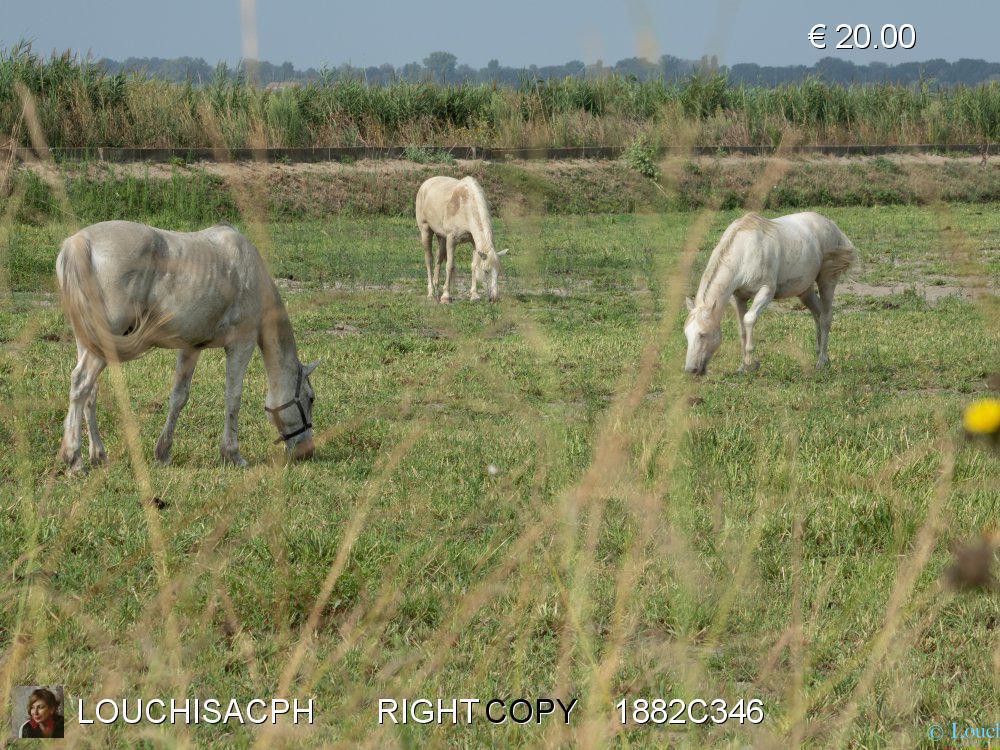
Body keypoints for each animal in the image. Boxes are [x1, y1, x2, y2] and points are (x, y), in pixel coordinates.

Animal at [55, 220, 320, 472]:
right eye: (310, 398)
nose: (306, 452)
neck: (248, 271)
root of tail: (79, 242)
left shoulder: (191, 347)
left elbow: (179, 397)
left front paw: (163, 452)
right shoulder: (241, 344)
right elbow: (233, 398)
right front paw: (232, 454)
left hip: (89, 341)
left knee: (90, 393)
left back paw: (98, 455)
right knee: (81, 383)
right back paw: (74, 459)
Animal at [684, 212, 856, 376]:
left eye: (703, 334)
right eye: (686, 334)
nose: (690, 370)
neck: (745, 251)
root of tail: (831, 225)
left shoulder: (766, 291)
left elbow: (749, 320)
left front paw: (750, 363)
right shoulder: (738, 297)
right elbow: (741, 329)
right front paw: (742, 367)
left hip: (827, 281)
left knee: (826, 317)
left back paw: (822, 361)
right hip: (805, 291)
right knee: (818, 314)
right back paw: (821, 354)